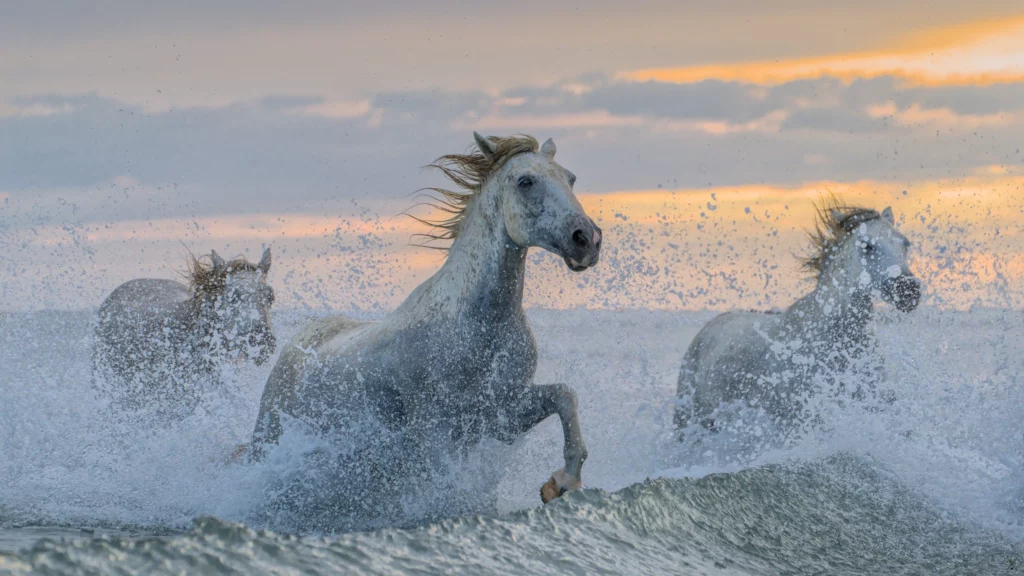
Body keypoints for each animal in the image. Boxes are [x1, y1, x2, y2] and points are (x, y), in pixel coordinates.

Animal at [248, 133, 601, 528]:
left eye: (570, 178)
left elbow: (565, 396)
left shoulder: (500, 416)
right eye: (525, 181)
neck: (475, 328)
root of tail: (294, 347)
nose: (587, 239)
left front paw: (563, 483)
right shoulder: (436, 432)